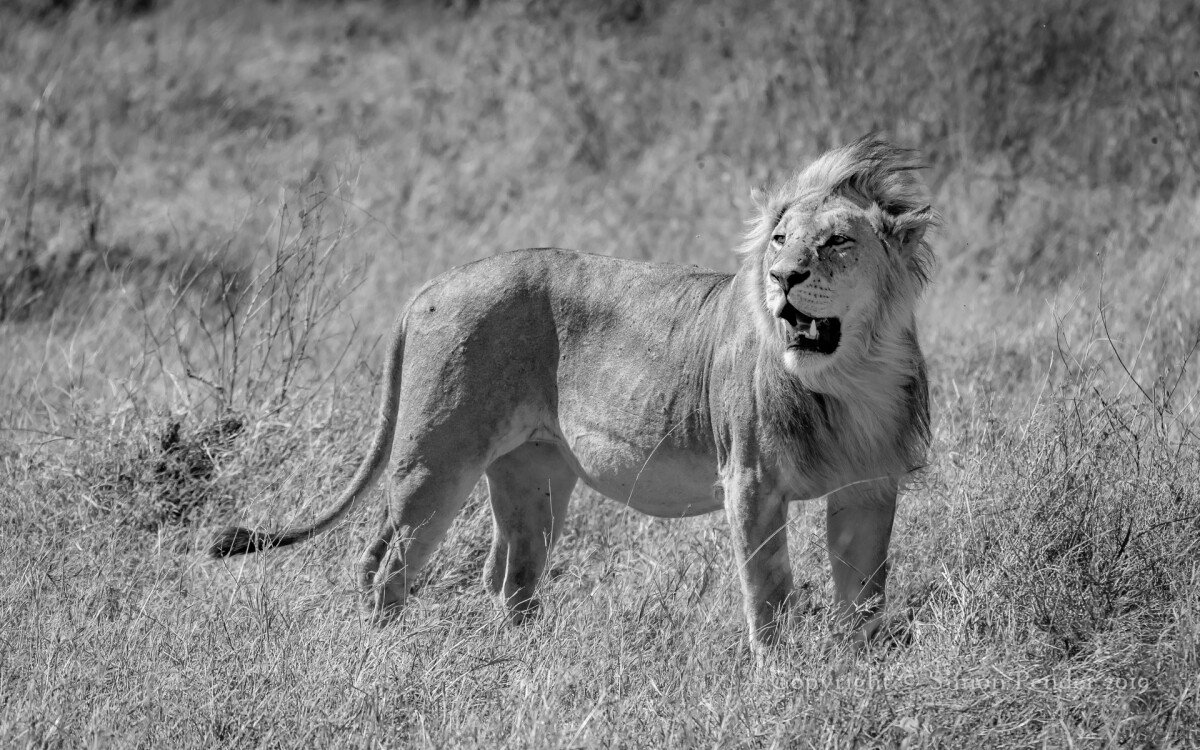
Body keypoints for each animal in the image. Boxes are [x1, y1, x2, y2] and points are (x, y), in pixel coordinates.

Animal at [209, 137, 936, 649]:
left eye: (836, 242)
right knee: (387, 564)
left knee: (510, 579)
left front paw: (858, 669)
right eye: (780, 240)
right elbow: (770, 594)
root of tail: (436, 282)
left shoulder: (870, 490)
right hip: (435, 459)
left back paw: (523, 663)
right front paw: (777, 677)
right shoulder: (752, 482)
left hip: (534, 472)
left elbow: (865, 595)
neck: (848, 378)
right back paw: (385, 656)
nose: (784, 277)